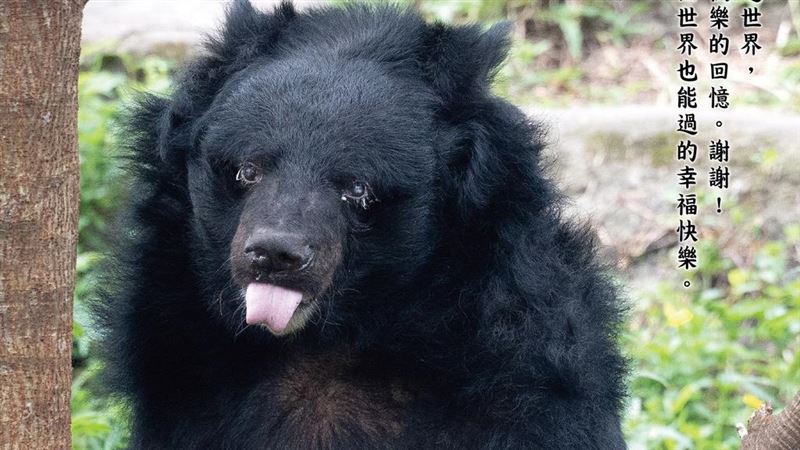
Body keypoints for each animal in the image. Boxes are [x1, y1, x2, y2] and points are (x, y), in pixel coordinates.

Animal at [95, 1, 627, 448]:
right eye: (248, 170)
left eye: (356, 188)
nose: (274, 254)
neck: (327, 341)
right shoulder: (182, 376)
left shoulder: (521, 370)